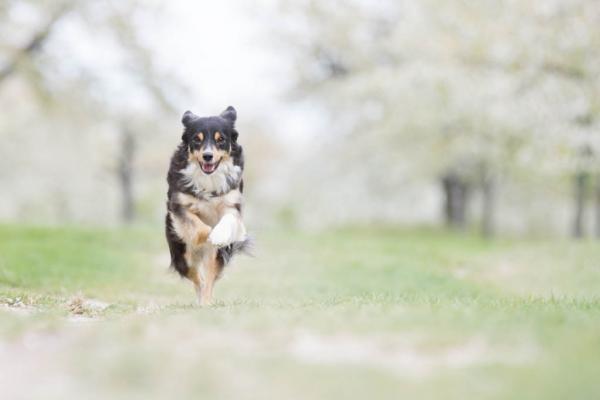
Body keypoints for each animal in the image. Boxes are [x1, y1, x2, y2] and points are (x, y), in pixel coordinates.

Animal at [164, 106, 248, 306]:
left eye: (221, 139)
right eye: (196, 139)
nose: (207, 156)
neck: (209, 178)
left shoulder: (232, 202)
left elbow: (228, 219)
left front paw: (218, 235)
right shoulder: (178, 204)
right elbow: (198, 227)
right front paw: (208, 234)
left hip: (214, 257)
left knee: (208, 277)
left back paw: (207, 302)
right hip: (182, 256)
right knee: (197, 278)